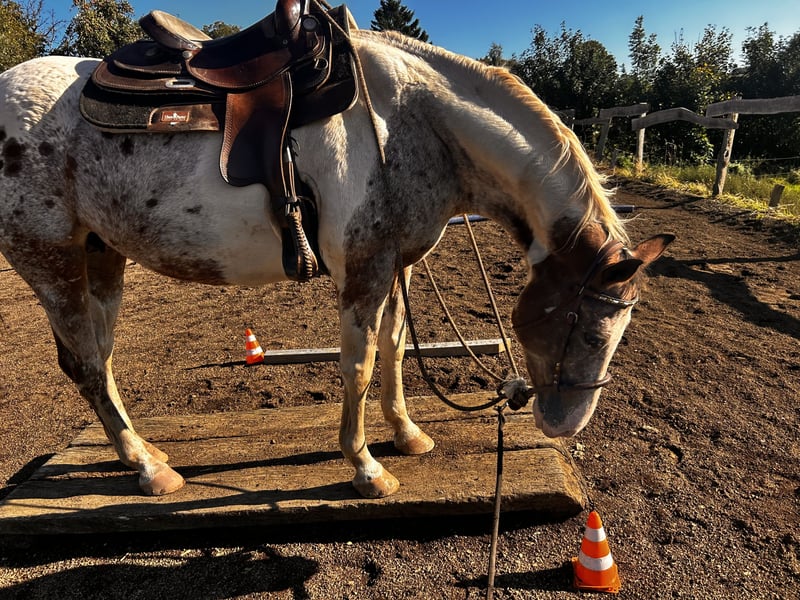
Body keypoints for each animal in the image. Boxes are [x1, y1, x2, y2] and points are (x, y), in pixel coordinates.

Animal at [0, 29, 673, 499]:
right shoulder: (365, 269)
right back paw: (147, 470)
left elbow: (395, 348)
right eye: (587, 329)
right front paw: (366, 468)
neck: (411, 122)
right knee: (87, 363)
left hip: (101, 256)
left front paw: (407, 435)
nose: (565, 424)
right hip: (51, 260)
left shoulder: (397, 264)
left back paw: (143, 453)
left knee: (101, 359)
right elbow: (360, 363)